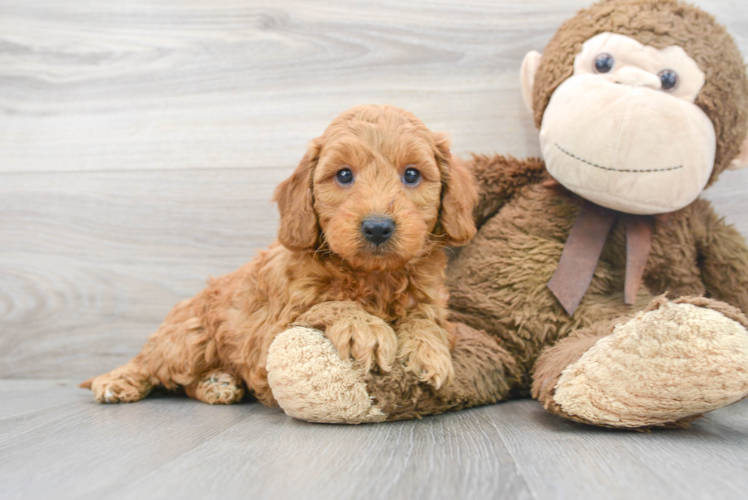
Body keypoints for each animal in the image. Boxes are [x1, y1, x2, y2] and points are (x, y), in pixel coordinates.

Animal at [82, 105, 476, 406]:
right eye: (343, 175)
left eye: (411, 174)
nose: (377, 227)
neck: (372, 275)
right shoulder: (271, 331)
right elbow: (327, 304)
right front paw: (365, 327)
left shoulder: (429, 299)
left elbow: (426, 319)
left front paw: (428, 351)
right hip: (189, 338)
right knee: (153, 363)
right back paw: (117, 381)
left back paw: (216, 384)